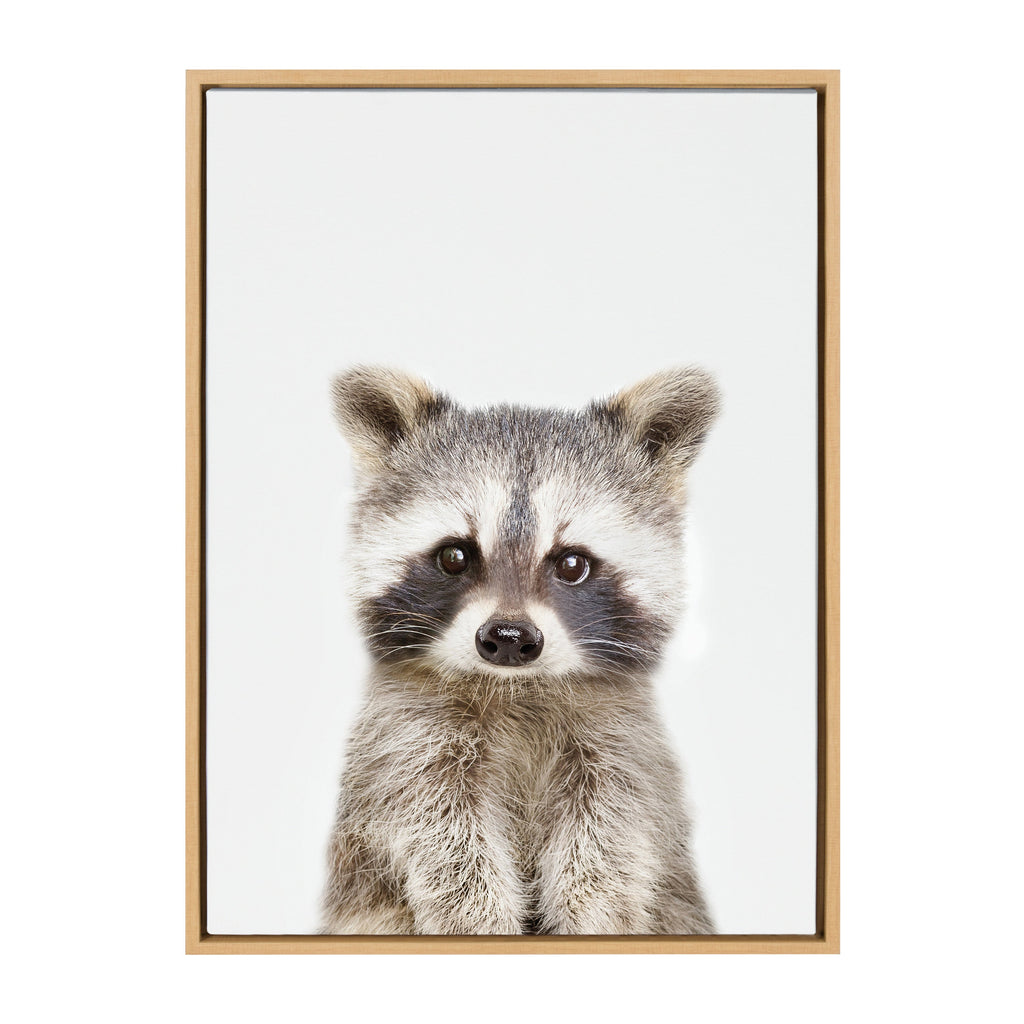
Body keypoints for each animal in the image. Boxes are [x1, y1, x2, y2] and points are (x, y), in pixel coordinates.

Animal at [320, 365, 719, 936]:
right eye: (455, 555)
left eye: (572, 563)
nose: (508, 639)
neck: (517, 689)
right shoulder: (403, 740)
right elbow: (440, 834)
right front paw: (479, 920)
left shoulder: (623, 743)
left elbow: (613, 837)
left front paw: (590, 915)